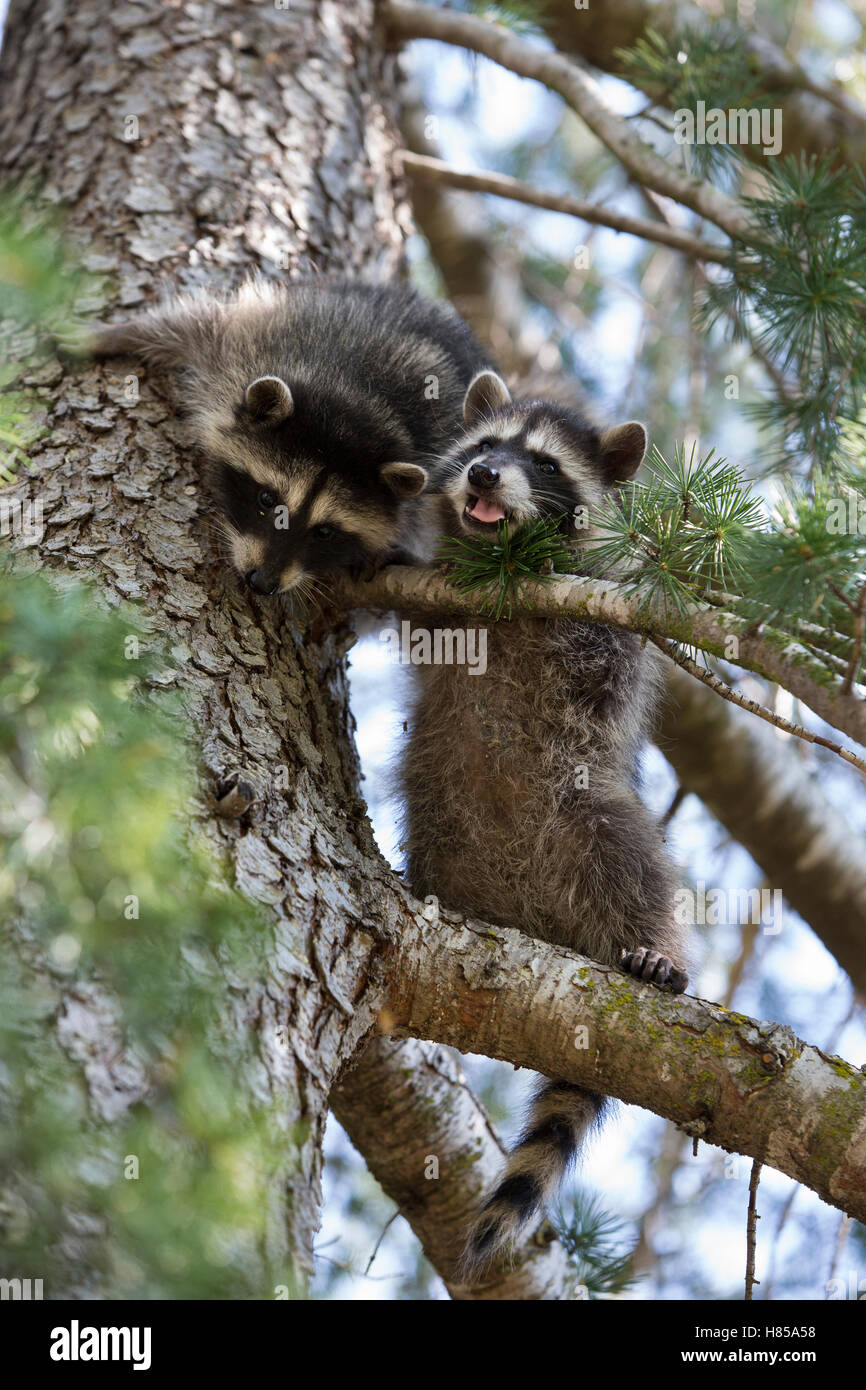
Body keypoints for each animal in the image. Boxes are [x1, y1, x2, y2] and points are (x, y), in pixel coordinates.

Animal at [89, 277, 493, 595]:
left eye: (325, 532)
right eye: (267, 498)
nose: (261, 583)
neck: (353, 406)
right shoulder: (246, 343)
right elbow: (186, 325)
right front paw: (108, 336)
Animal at [402, 369, 689, 1279]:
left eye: (545, 463)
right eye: (485, 445)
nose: (485, 475)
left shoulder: (616, 611)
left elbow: (600, 660)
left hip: (587, 809)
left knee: (630, 855)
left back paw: (651, 947)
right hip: (437, 811)